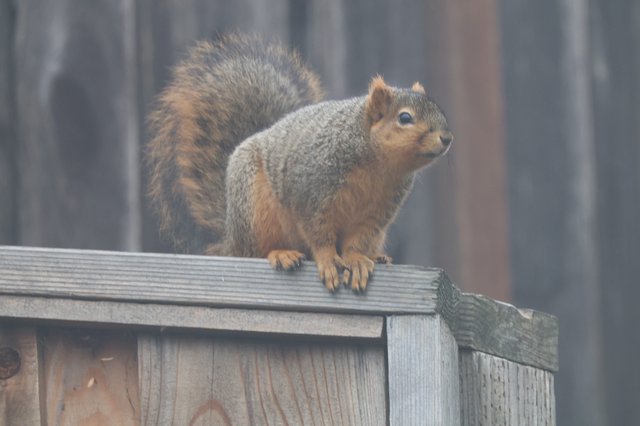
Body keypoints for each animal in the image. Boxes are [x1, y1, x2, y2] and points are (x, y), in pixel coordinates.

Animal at [146, 34, 452, 292]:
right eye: (405, 118)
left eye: (438, 110)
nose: (447, 138)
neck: (378, 164)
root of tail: (231, 239)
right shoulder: (311, 190)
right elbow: (318, 233)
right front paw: (329, 260)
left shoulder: (378, 211)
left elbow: (358, 239)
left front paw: (356, 260)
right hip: (255, 210)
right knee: (256, 252)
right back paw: (281, 253)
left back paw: (378, 256)